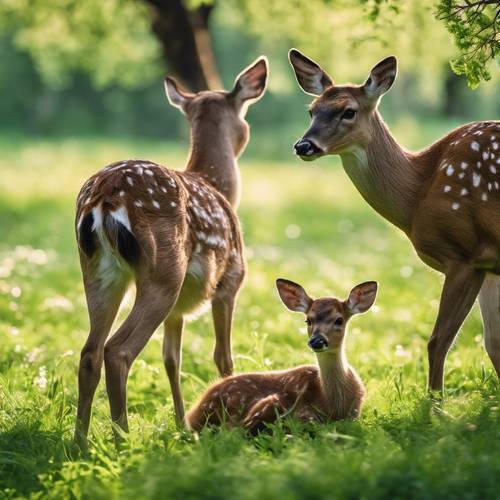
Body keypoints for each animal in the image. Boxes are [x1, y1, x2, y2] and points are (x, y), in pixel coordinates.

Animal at [73, 55, 270, 446]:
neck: (217, 185)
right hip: (164, 272)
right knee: (117, 351)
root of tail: (104, 196)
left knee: (90, 352)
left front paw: (182, 426)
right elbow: (223, 357)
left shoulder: (180, 308)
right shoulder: (230, 281)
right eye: (245, 117)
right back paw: (122, 441)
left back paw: (80, 443)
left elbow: (171, 359)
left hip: (99, 271)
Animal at [290, 49, 500, 394]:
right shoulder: (488, 263)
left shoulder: (462, 253)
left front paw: (435, 404)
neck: (417, 194)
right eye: (311, 111)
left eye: (348, 111)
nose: (303, 145)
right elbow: (493, 342)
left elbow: (437, 342)